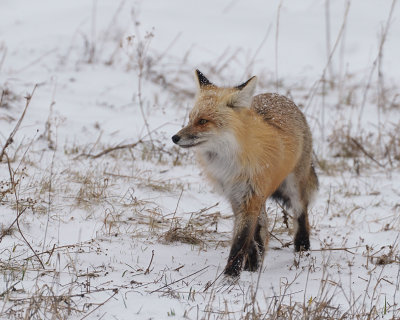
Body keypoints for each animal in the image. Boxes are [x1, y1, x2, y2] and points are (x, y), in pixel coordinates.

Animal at [172, 70, 318, 278]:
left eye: (203, 121)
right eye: (190, 118)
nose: (174, 137)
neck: (229, 163)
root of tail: (280, 96)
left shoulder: (249, 197)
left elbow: (240, 240)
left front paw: (230, 276)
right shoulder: (236, 196)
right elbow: (249, 237)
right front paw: (251, 264)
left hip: (293, 186)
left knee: (301, 212)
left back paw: (302, 248)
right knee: (263, 226)